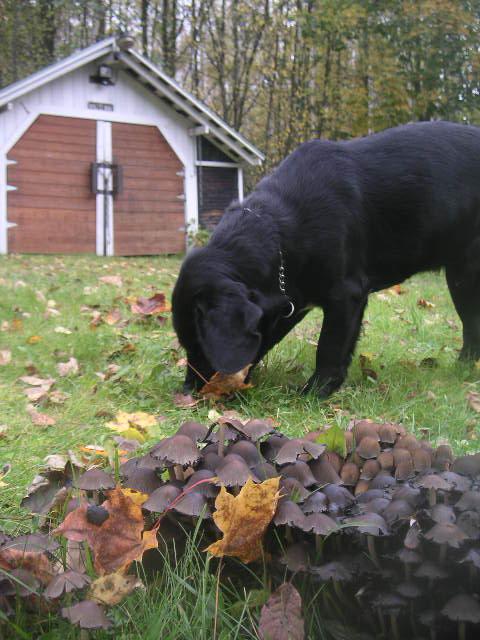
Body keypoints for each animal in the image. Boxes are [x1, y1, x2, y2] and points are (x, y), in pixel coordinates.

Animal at [174, 121, 480, 396]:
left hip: (466, 276)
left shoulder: (346, 294)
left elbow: (329, 346)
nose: (186, 392)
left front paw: (315, 391)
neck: (280, 228)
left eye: (200, 344)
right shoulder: (293, 301)